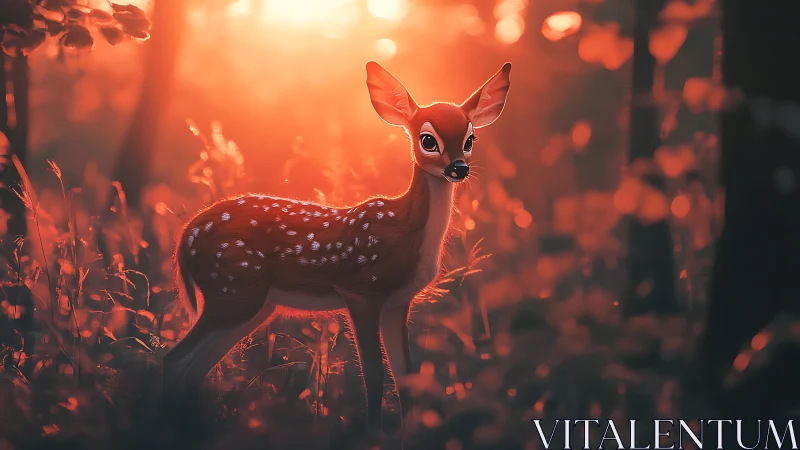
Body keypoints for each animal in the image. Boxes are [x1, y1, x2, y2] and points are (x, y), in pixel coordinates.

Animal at [163, 60, 511, 444]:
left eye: (470, 139)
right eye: (428, 140)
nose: (458, 168)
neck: (408, 231)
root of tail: (184, 239)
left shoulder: (398, 302)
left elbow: (406, 376)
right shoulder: (361, 289)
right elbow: (373, 375)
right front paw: (373, 438)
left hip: (252, 304)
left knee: (194, 367)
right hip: (232, 290)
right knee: (174, 361)